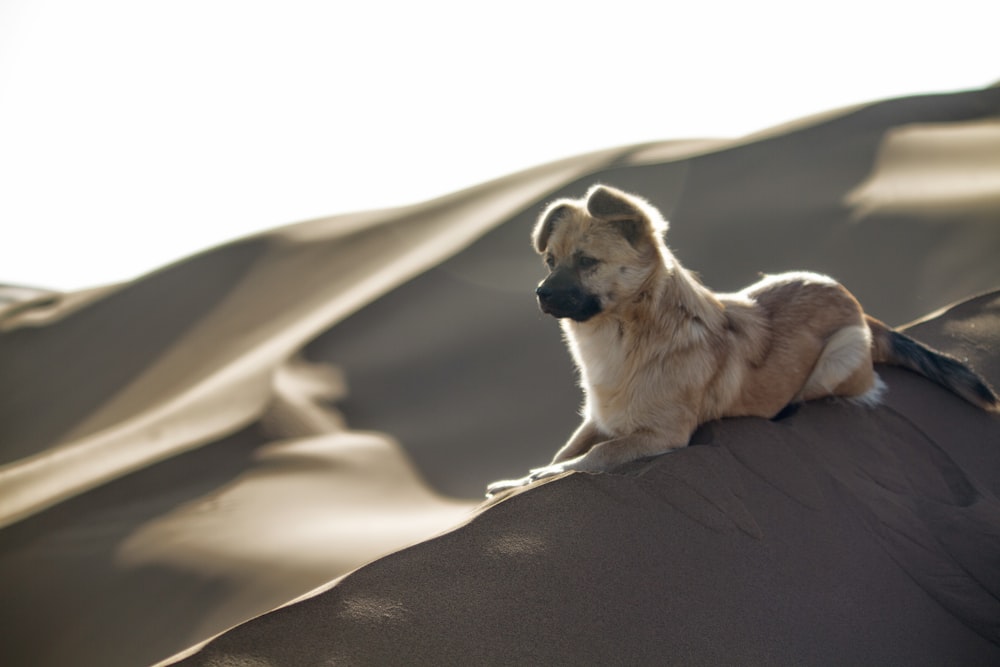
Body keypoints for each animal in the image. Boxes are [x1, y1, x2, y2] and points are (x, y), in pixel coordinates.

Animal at [482, 183, 992, 496]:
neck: (627, 333)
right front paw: (516, 481)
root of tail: (857, 305)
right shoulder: (599, 417)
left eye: (587, 261)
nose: (540, 295)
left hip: (837, 358)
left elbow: (592, 457)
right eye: (550, 260)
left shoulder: (661, 434)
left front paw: (543, 475)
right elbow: (570, 449)